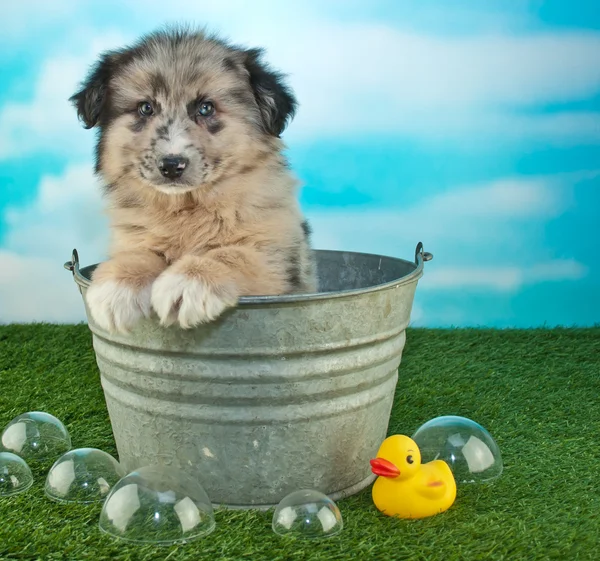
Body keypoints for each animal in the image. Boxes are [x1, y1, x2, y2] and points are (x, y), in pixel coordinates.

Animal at [70, 27, 318, 332]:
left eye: (206, 108)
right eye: (145, 108)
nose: (171, 165)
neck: (186, 208)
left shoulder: (276, 252)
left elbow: (232, 254)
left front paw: (188, 282)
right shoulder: (132, 237)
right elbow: (140, 253)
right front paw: (118, 286)